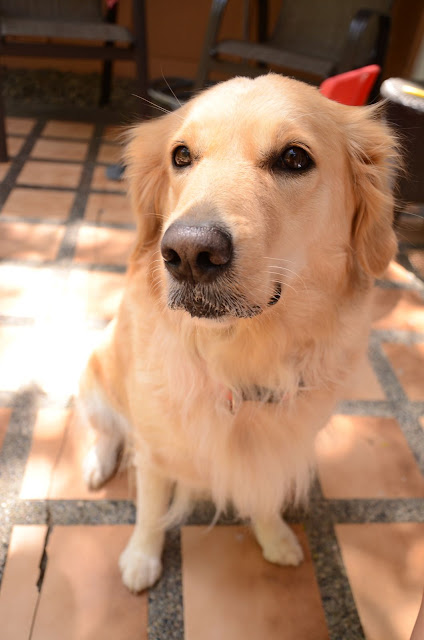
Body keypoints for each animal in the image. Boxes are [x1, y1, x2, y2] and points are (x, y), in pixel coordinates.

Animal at [77, 74, 398, 592]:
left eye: (294, 158)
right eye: (181, 155)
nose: (188, 253)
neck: (240, 355)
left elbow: (262, 495)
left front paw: (275, 537)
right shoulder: (154, 446)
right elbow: (150, 508)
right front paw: (142, 557)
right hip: (94, 376)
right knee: (105, 431)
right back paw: (96, 463)